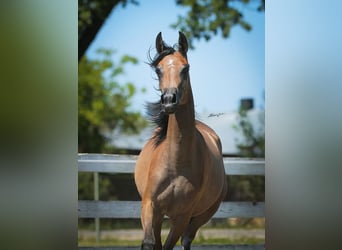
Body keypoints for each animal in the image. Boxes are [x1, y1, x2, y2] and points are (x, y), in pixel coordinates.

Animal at [134, 32, 227, 249]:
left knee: (187, 239)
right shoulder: (150, 207)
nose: (169, 100)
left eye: (186, 68)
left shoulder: (182, 216)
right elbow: (150, 243)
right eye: (158, 69)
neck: (175, 165)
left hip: (202, 215)